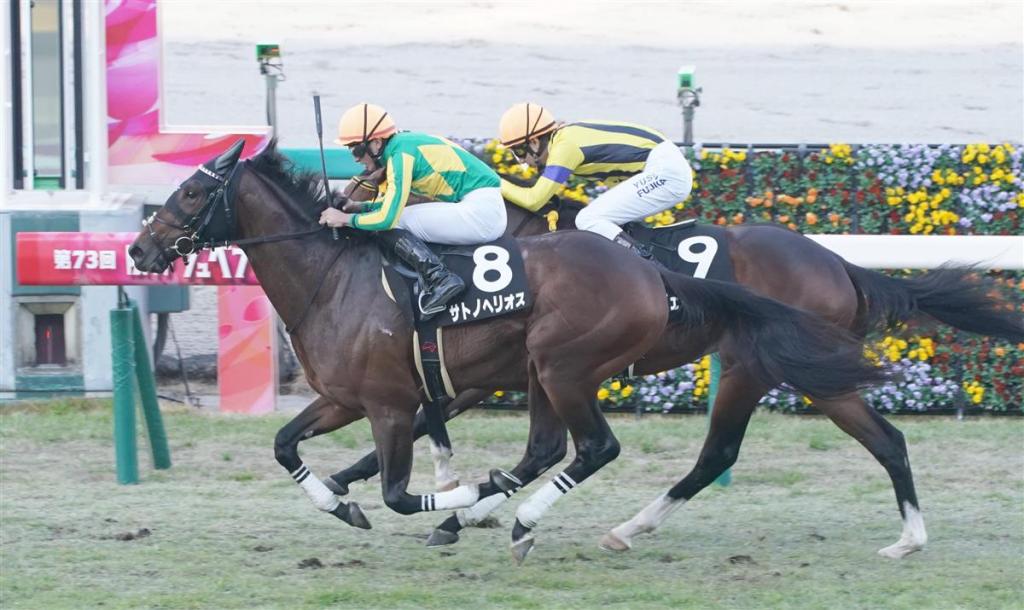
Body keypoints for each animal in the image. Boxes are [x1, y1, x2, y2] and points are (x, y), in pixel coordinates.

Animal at [128, 141, 889, 562]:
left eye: (191, 191)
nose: (139, 249)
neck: (334, 276)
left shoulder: (396, 400)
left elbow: (402, 489)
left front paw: (461, 498)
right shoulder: (348, 397)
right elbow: (286, 445)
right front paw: (343, 500)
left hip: (580, 366)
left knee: (612, 448)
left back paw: (530, 518)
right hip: (556, 372)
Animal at [327, 167, 1024, 560]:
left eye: (368, 179)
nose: (344, 208)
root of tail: (839, 263)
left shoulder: (509, 366)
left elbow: (428, 418)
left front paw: (427, 501)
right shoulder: (506, 366)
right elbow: (430, 420)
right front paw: (360, 485)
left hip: (756, 366)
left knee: (722, 453)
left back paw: (627, 528)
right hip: (805, 371)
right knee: (883, 441)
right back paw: (908, 537)